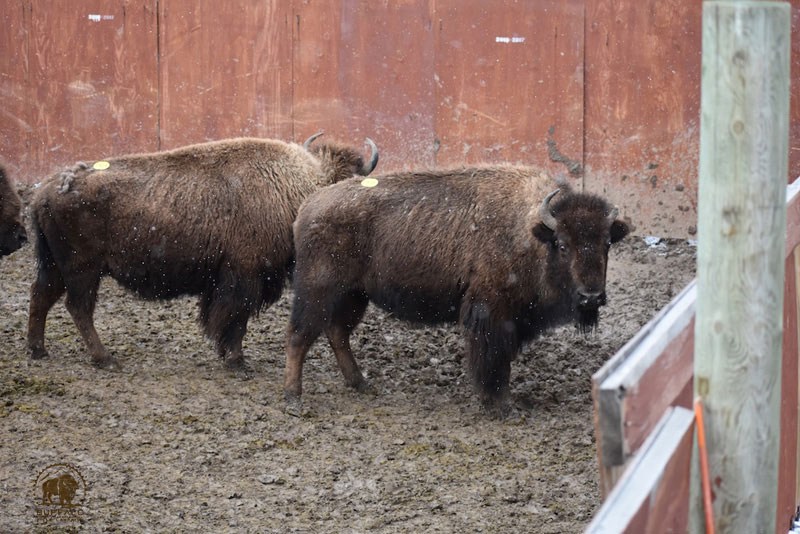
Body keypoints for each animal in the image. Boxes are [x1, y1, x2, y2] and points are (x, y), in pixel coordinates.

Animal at [27, 134, 378, 370]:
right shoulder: (244, 276)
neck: (296, 184)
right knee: (78, 308)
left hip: (55, 266)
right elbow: (235, 318)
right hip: (83, 269)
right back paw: (105, 359)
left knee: (41, 296)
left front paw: (226, 355)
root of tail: (45, 190)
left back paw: (38, 350)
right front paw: (236, 360)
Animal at [284, 165, 629, 410]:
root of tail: (308, 207)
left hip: (354, 295)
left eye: (607, 242)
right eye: (563, 244)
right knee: (300, 335)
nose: (591, 297)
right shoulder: (491, 312)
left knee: (337, 333)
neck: (531, 231)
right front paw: (498, 404)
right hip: (318, 290)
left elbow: (502, 357)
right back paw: (294, 398)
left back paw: (360, 383)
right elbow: (492, 357)